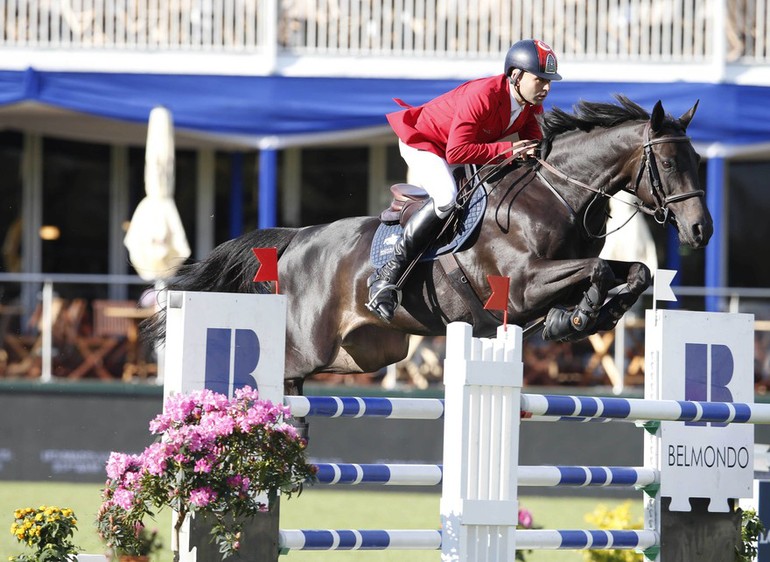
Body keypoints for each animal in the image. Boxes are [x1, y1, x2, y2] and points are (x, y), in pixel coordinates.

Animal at [142, 94, 708, 396]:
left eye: (699, 160)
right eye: (670, 163)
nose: (701, 230)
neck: (555, 193)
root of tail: (297, 239)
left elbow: (632, 271)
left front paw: (584, 316)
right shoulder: (521, 285)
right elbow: (595, 270)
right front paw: (580, 315)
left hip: (362, 353)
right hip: (307, 345)